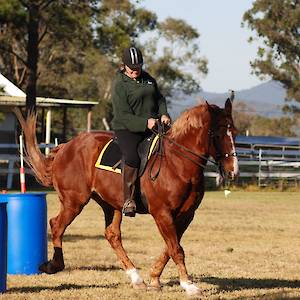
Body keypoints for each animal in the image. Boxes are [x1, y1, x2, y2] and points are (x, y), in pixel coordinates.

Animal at [14, 99, 239, 296]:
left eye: (234, 132)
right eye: (218, 133)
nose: (233, 171)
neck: (177, 164)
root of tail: (66, 147)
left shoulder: (185, 215)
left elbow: (171, 247)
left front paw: (155, 279)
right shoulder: (162, 213)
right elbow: (176, 249)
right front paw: (189, 286)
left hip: (110, 204)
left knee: (112, 235)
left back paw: (136, 278)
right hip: (74, 201)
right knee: (57, 225)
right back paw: (53, 265)